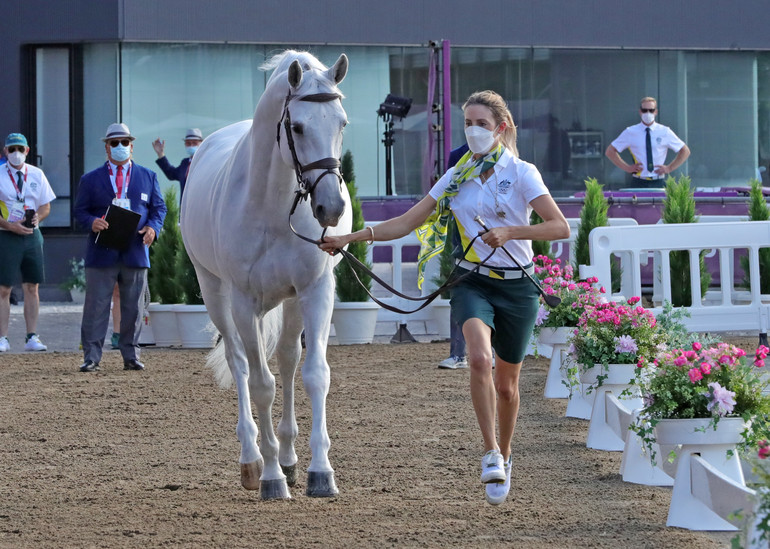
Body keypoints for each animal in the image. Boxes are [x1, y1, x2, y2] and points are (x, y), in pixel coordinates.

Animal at [178, 49, 350, 498]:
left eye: (341, 122)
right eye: (298, 126)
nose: (331, 208)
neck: (273, 207)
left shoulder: (315, 291)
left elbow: (314, 375)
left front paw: (321, 473)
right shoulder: (244, 303)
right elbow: (260, 384)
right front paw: (271, 478)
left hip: (291, 302)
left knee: (288, 360)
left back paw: (290, 459)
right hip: (214, 293)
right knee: (240, 365)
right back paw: (253, 461)